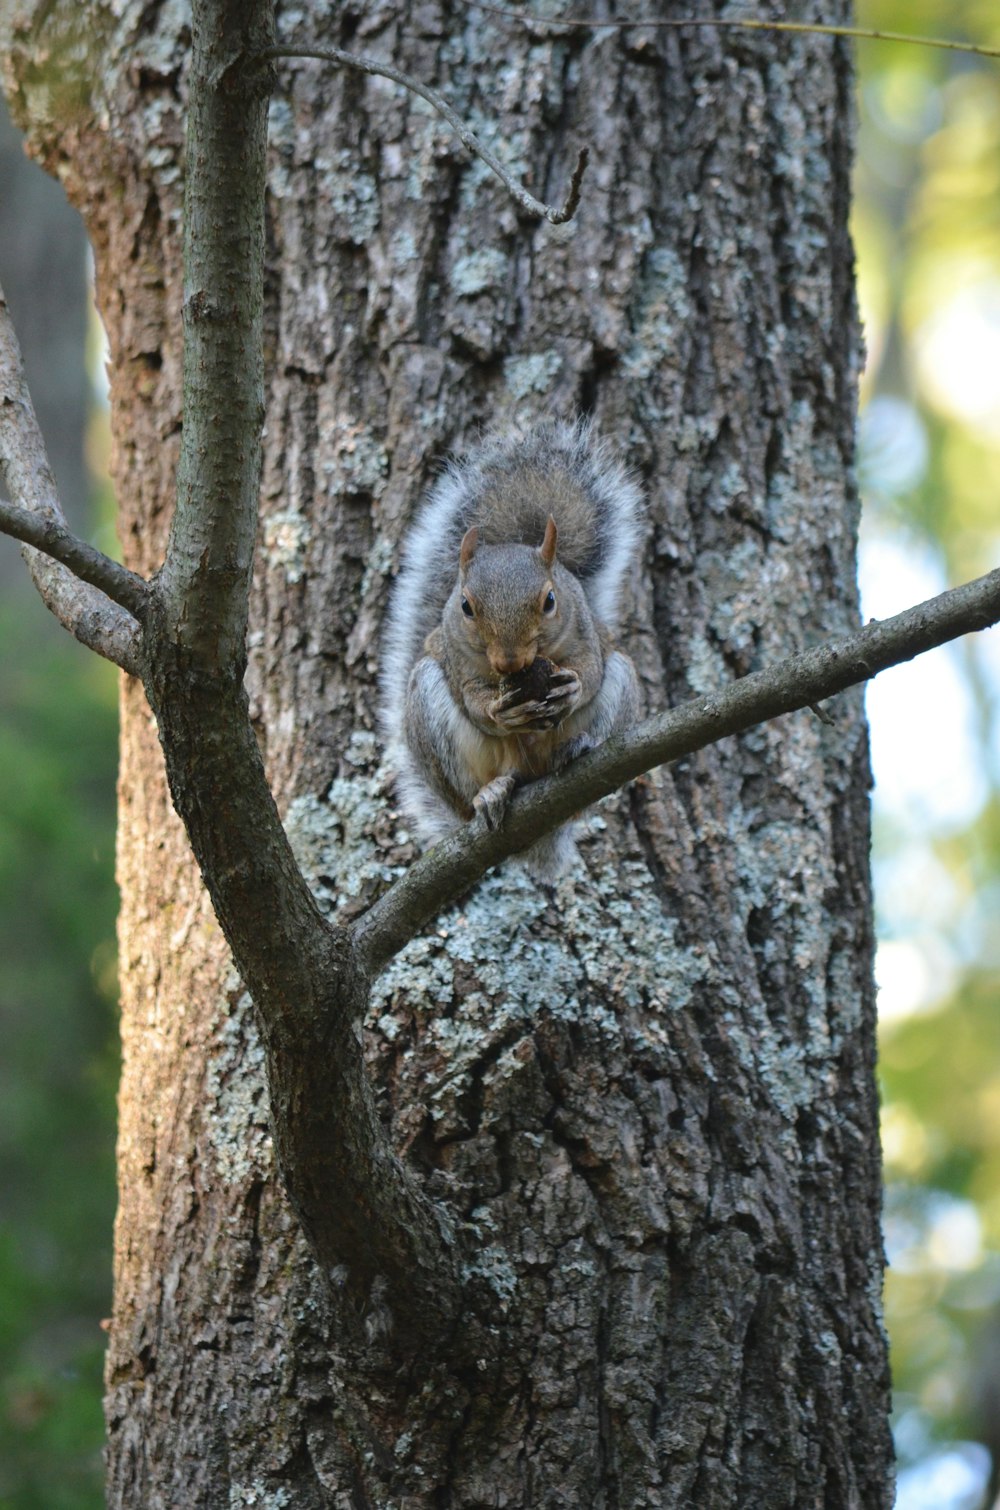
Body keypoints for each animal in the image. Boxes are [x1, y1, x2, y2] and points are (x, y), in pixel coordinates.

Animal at [380, 419, 646, 881]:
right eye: (465, 606)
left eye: (551, 600)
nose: (510, 662)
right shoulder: (457, 660)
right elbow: (472, 699)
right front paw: (498, 710)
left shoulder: (587, 634)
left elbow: (591, 670)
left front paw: (572, 688)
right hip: (432, 715)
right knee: (479, 789)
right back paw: (492, 792)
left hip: (621, 688)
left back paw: (574, 750)